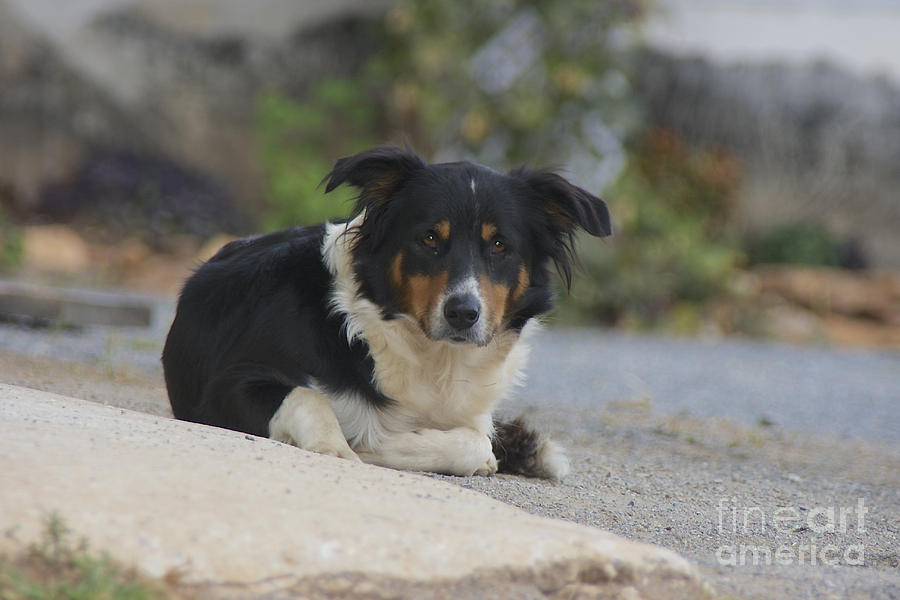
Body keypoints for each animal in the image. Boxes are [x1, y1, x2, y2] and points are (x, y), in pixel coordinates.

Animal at [162, 145, 612, 478]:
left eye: (499, 245)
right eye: (429, 238)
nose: (462, 313)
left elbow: (476, 441)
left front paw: (377, 444)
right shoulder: (224, 387)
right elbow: (310, 396)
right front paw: (343, 446)